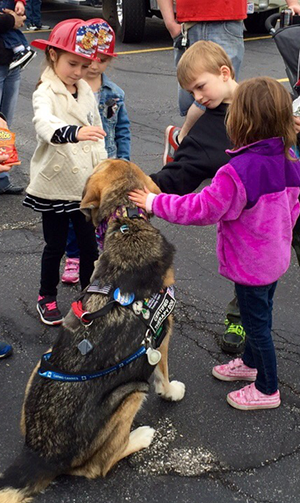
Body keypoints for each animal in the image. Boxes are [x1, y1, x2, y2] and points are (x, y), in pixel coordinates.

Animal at [0, 160, 185, 503]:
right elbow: (163, 373)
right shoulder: (162, 332)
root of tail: (38, 455)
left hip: (42, 360)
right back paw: (141, 436)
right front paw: (170, 392)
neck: (127, 222)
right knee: (100, 465)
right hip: (130, 394)